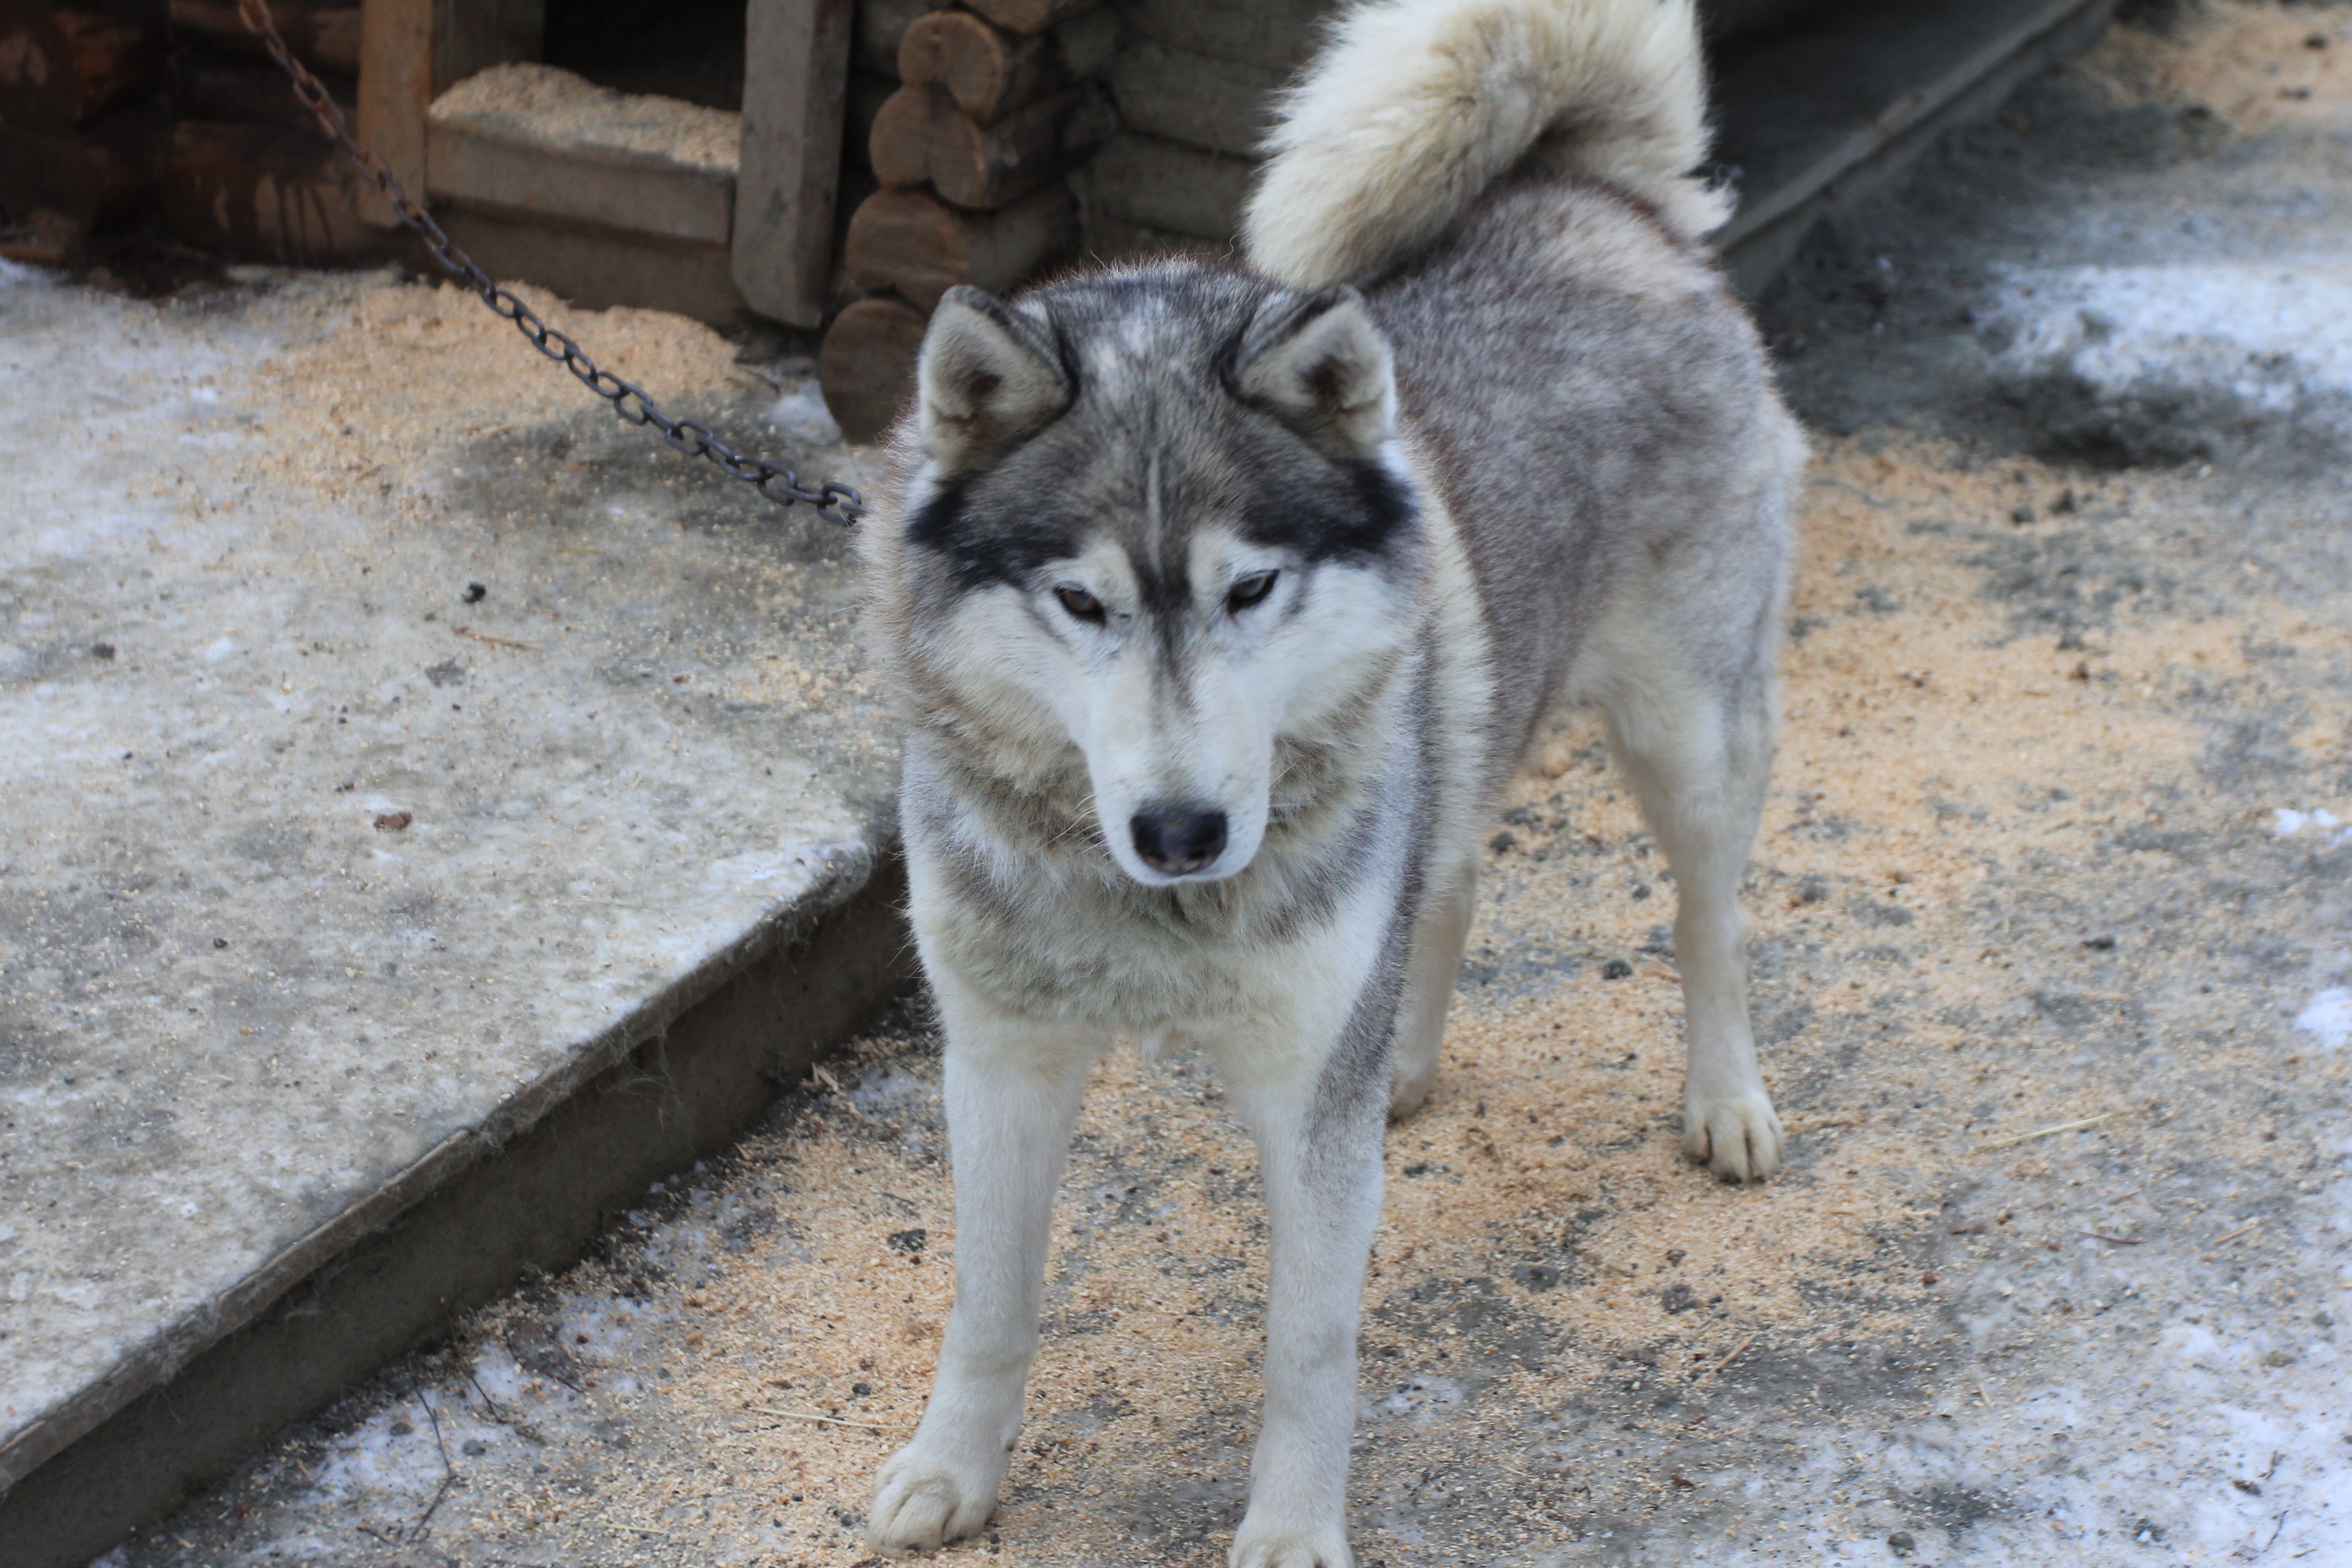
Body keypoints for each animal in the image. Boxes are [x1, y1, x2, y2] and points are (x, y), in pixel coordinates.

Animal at [865, 0, 1797, 1561]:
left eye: (1250, 588)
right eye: (1081, 602)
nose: (1183, 830)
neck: (1147, 914)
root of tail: (1590, 193)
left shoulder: (1306, 1104)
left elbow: (1308, 1346)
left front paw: (1293, 1529)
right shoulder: (999, 1057)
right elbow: (988, 1301)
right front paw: (953, 1469)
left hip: (1690, 740)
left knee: (1703, 918)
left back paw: (1724, 1095)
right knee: (1450, 876)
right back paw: (1409, 1062)